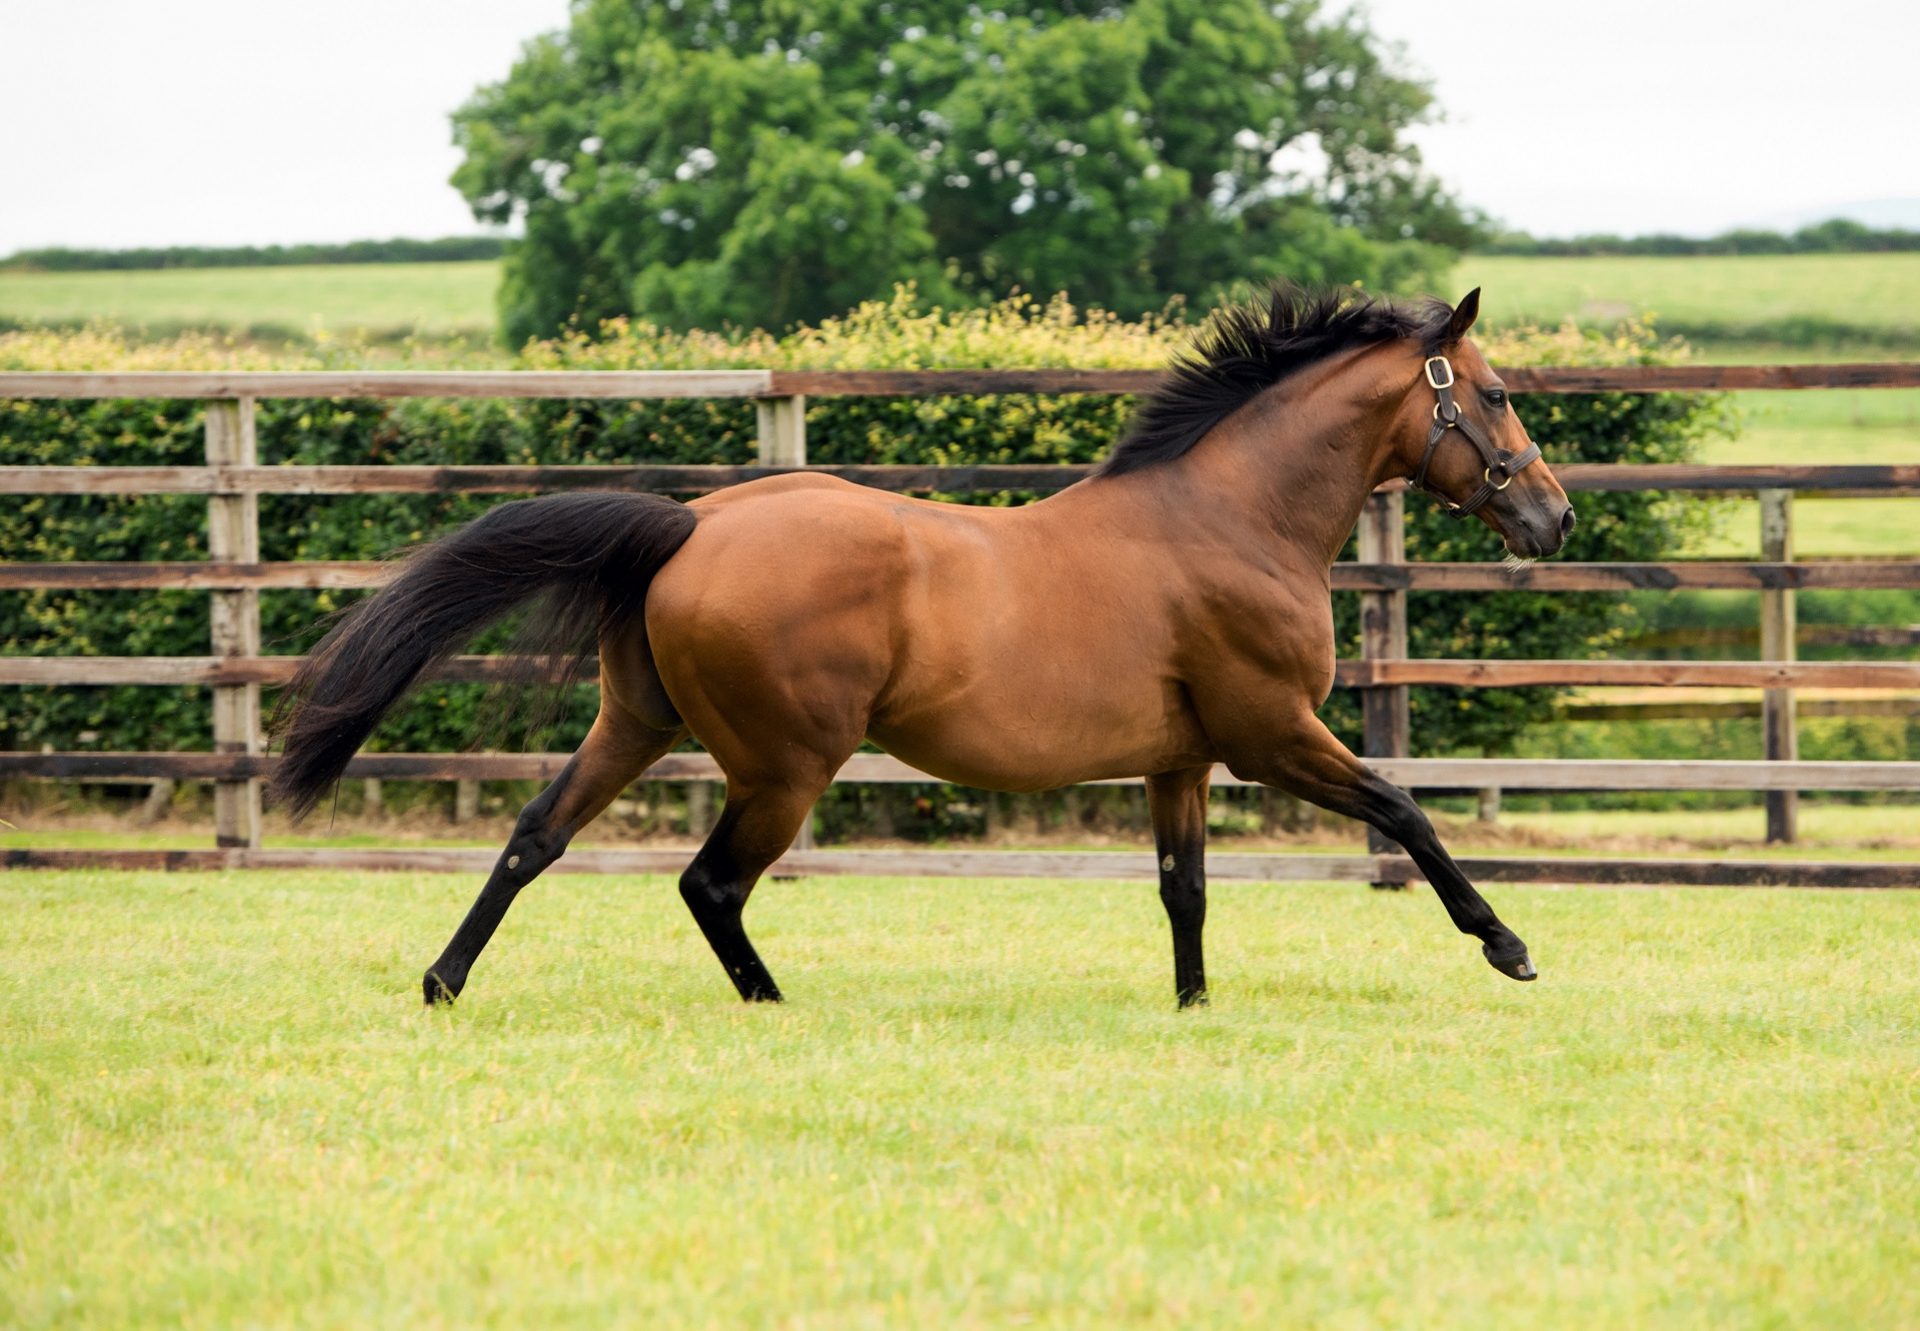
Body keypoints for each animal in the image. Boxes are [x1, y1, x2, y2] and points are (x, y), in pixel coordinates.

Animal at [278, 282, 1582, 1006]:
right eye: (1496, 392)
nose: (1555, 517)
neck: (1230, 516)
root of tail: (698, 521)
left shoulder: (1182, 759)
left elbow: (1186, 889)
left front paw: (1195, 1006)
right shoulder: (1273, 734)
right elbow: (1406, 811)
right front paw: (1510, 946)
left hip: (636, 724)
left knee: (533, 837)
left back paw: (442, 982)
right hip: (785, 764)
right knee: (711, 882)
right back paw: (772, 1000)